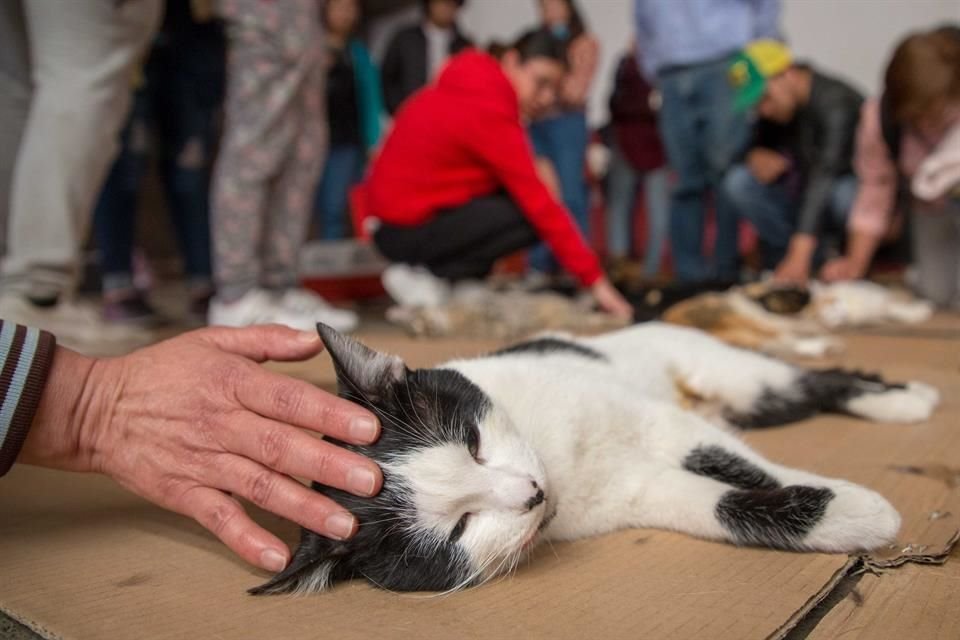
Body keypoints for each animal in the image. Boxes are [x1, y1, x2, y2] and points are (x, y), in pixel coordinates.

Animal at [251, 322, 940, 596]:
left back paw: (905, 398)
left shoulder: (662, 424)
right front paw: (845, 516)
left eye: (473, 442)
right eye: (458, 530)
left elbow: (750, 468)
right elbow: (723, 503)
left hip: (739, 379)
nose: (531, 493)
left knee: (817, 381)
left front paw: (855, 505)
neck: (562, 462)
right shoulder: (646, 488)